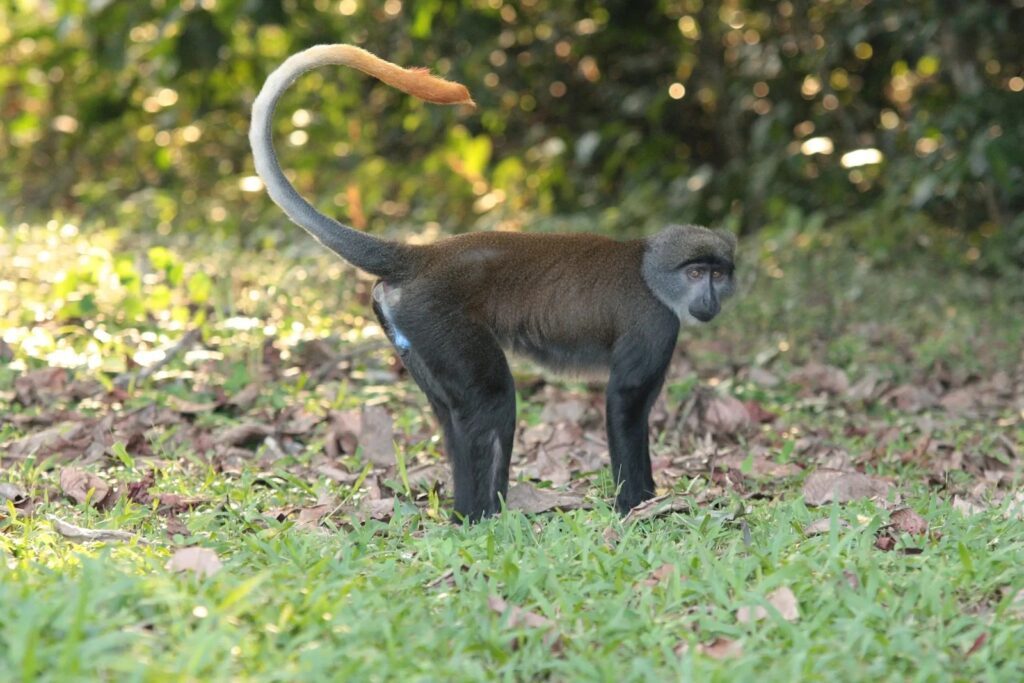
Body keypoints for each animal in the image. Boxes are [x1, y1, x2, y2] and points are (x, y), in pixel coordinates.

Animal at [252, 44, 741, 524]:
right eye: (696, 273)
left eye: (718, 274)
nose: (709, 297)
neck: (649, 269)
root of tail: (425, 255)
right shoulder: (655, 325)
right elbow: (625, 403)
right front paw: (636, 507)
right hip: (437, 316)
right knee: (491, 399)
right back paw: (480, 517)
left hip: (411, 329)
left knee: (452, 412)